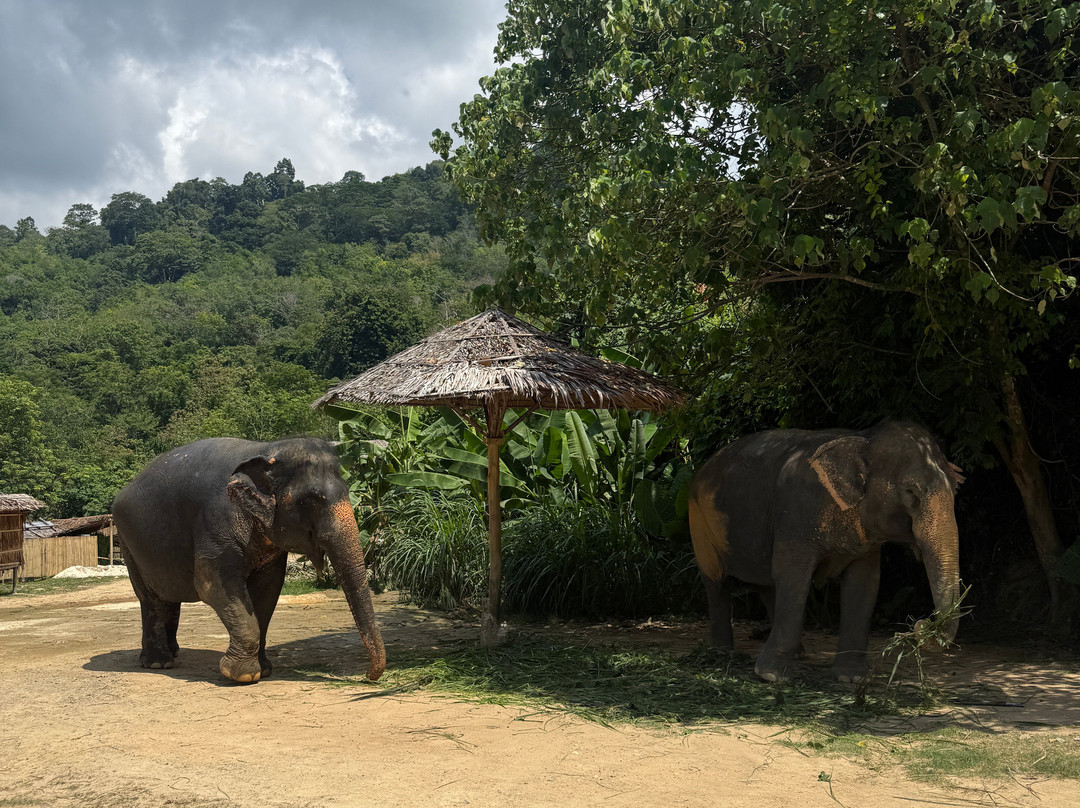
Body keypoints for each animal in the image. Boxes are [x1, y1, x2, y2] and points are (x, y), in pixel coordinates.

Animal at [112, 437, 386, 684]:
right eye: (310, 500)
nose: (367, 676)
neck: (267, 448)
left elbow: (267, 589)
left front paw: (263, 670)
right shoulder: (216, 521)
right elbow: (212, 586)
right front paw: (241, 675)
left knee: (168, 597)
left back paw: (174, 652)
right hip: (128, 543)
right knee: (151, 599)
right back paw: (158, 662)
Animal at [688, 421, 963, 683]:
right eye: (911, 493)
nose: (922, 623)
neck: (864, 438)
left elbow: (864, 584)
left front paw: (852, 677)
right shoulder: (797, 515)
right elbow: (794, 577)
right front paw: (773, 677)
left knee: (765, 582)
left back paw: (796, 653)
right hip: (699, 521)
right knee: (716, 582)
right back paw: (722, 652)